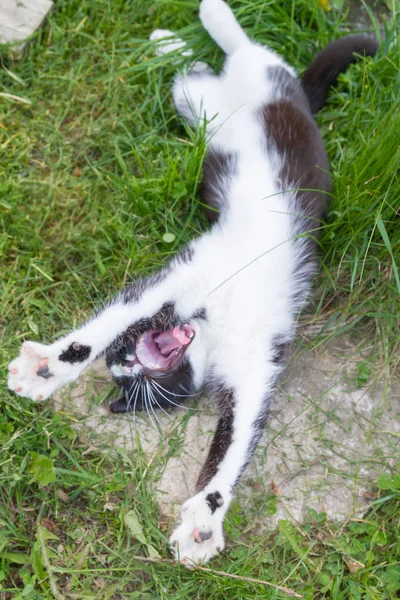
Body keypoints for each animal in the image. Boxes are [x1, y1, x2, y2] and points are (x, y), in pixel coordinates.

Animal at [7, 0, 376, 564]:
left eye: (134, 374)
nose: (128, 361)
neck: (212, 326)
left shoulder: (255, 362)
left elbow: (234, 442)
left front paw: (205, 519)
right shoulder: (185, 276)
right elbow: (106, 322)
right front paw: (48, 368)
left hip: (267, 86)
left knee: (254, 54)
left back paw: (210, 19)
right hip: (195, 104)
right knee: (194, 74)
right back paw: (169, 42)